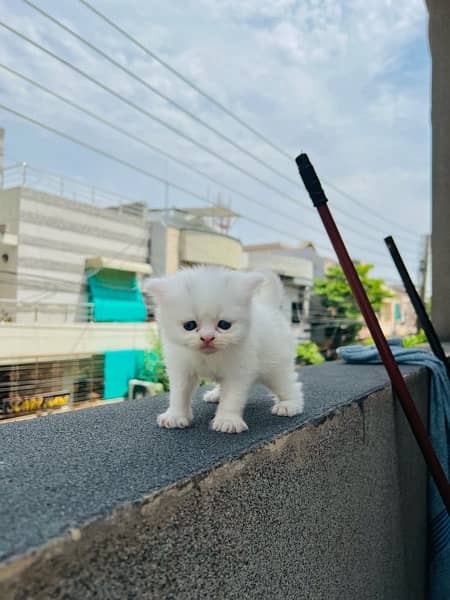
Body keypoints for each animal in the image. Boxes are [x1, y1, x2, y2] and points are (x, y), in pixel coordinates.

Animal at [146, 266, 304, 432]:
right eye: (189, 325)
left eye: (224, 325)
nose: (207, 338)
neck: (208, 356)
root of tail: (270, 307)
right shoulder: (181, 369)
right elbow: (179, 394)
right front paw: (175, 416)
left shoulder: (239, 372)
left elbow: (231, 398)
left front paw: (227, 421)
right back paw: (216, 395)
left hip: (276, 367)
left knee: (288, 384)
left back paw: (289, 404)